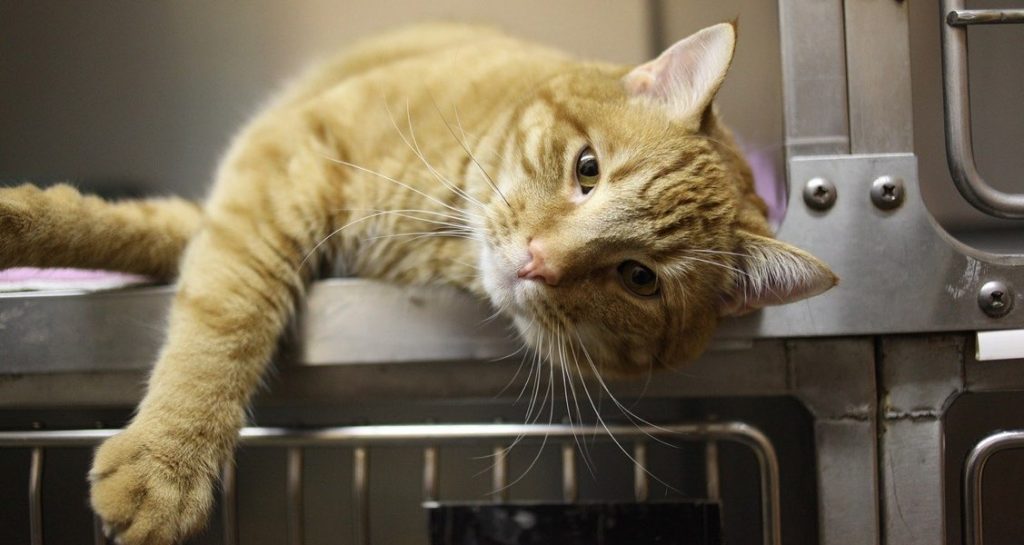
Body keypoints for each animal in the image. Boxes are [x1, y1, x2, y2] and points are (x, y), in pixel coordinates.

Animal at [0, 22, 831, 545]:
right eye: (588, 168)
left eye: (639, 278)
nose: (537, 259)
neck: (442, 226)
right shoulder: (273, 166)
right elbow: (220, 303)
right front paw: (167, 461)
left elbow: (205, 285)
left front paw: (165, 466)